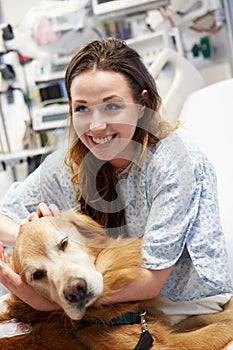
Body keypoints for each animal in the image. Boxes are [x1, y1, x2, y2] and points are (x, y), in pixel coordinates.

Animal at [0, 209, 233, 348]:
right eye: (37, 275)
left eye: (63, 243)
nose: (75, 290)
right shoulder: (162, 344)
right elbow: (219, 327)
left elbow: (200, 319)